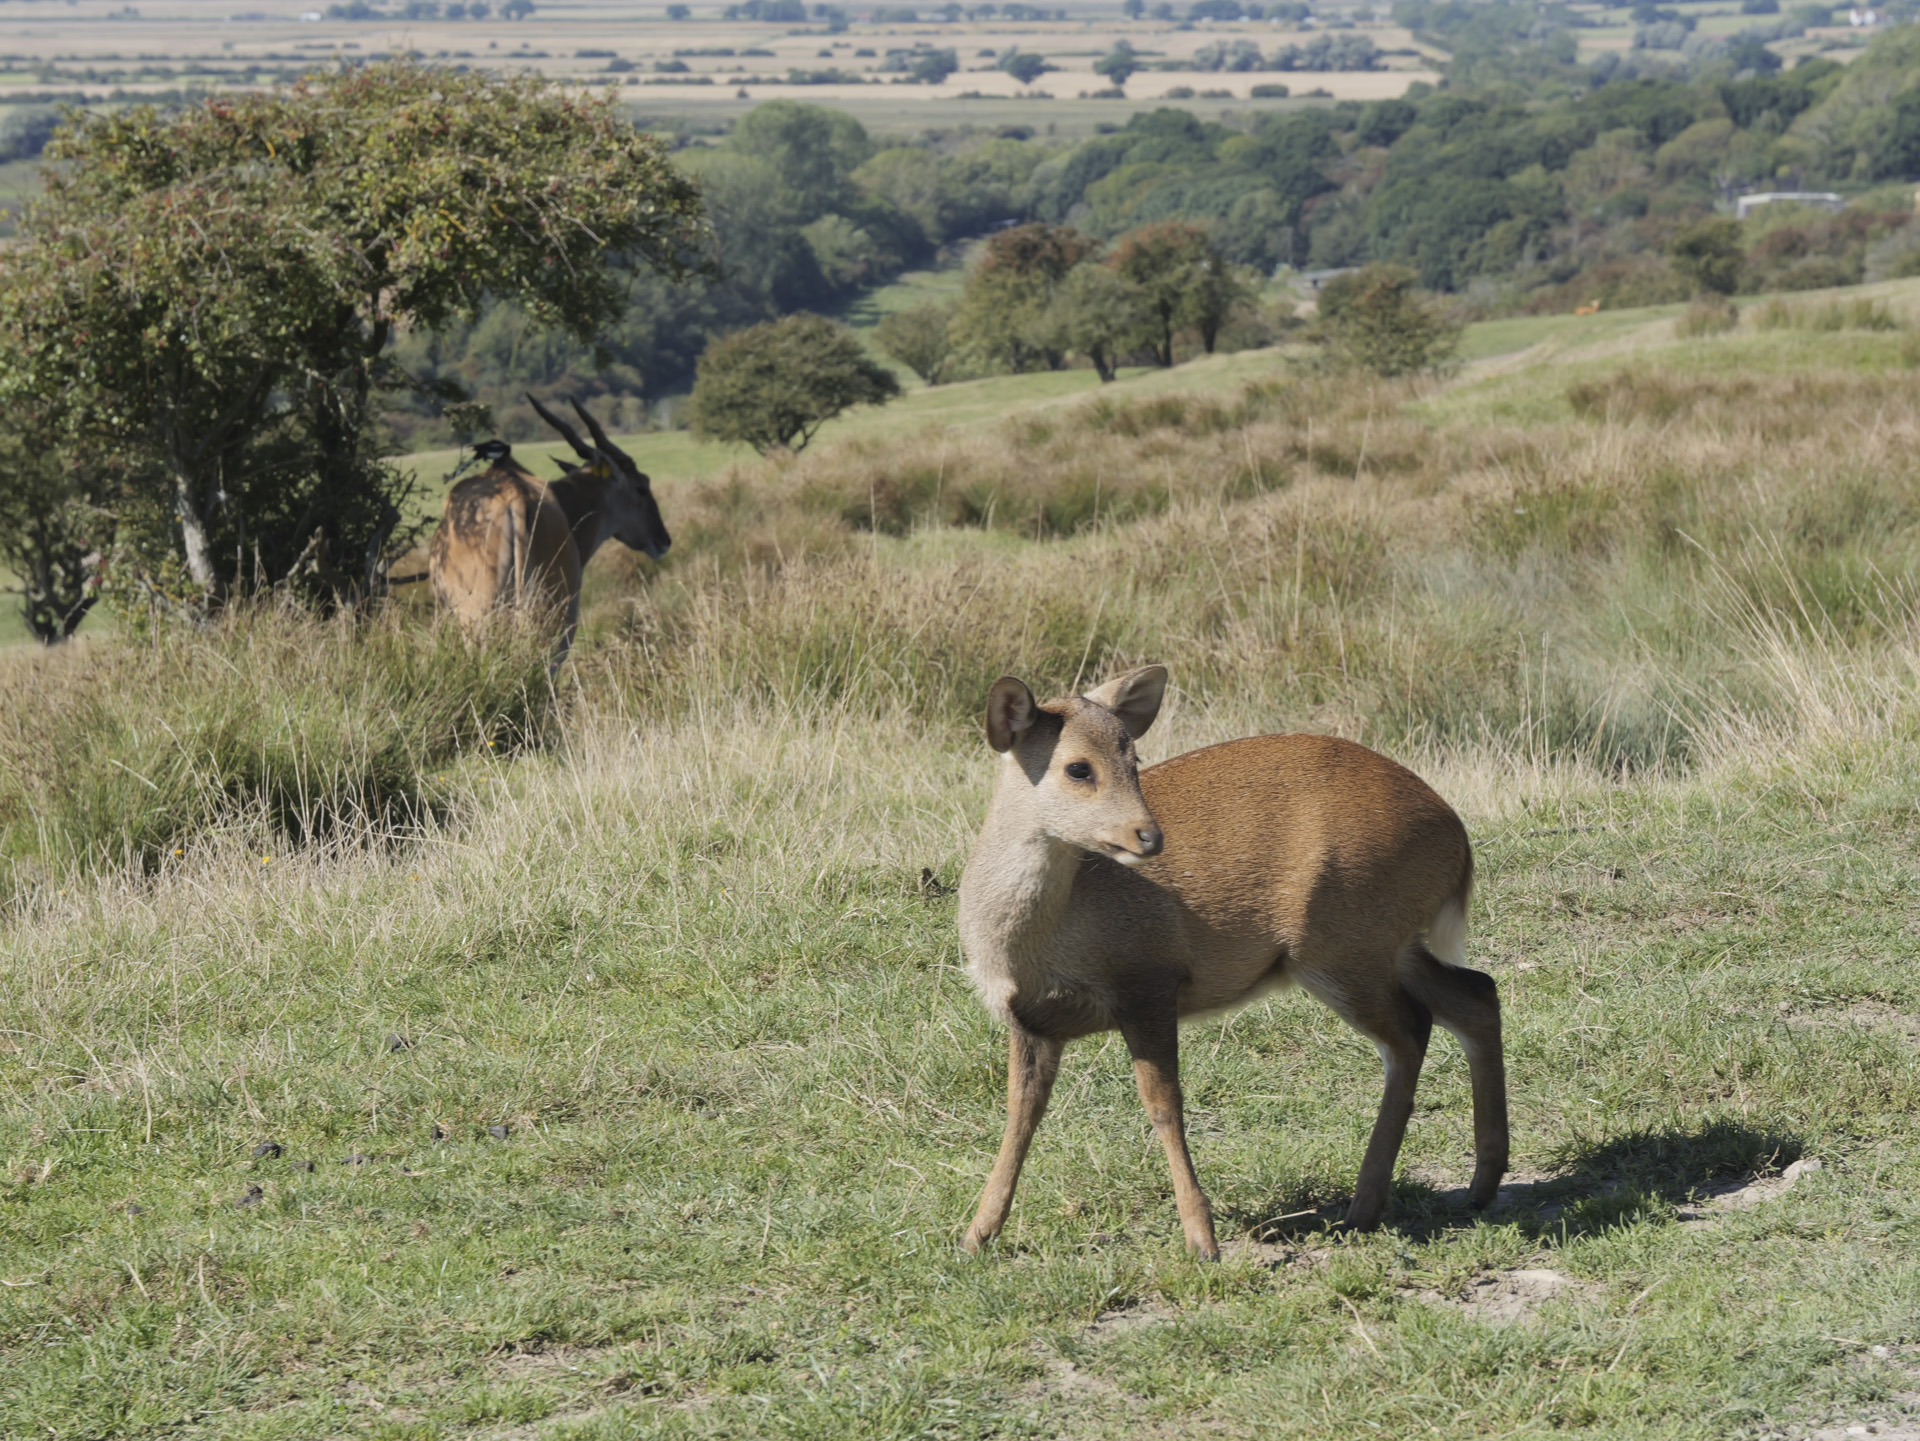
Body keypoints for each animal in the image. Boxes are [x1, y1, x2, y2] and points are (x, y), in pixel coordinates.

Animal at [952, 667, 1505, 1258]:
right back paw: (1479, 1184)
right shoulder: (1031, 1019)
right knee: (1476, 994)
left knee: (1412, 1030)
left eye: (1135, 760)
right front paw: (977, 1234)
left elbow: (1163, 1105)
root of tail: (1458, 839)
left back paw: (1364, 1206)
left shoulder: (1148, 980)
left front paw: (1201, 1240)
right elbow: (1020, 1113)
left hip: (1340, 942)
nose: (1149, 835)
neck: (1031, 943)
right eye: (1078, 767)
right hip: (1388, 945)